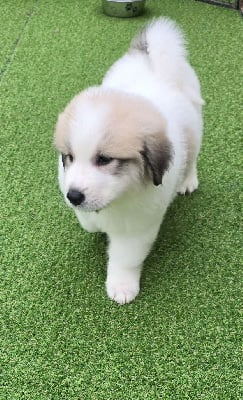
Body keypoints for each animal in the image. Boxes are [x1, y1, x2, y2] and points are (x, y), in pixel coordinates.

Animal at [54, 15, 204, 304]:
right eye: (69, 157)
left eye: (104, 159)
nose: (74, 196)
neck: (120, 197)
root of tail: (151, 57)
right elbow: (88, 223)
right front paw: (93, 222)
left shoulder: (137, 227)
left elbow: (125, 258)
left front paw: (122, 286)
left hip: (195, 127)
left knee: (191, 157)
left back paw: (188, 181)